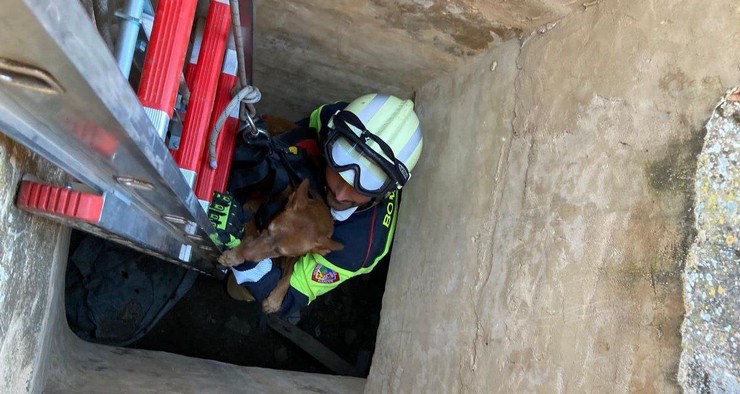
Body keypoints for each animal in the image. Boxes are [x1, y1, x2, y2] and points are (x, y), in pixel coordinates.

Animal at [214, 179, 342, 314]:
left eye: (280, 251)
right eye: (269, 229)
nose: (246, 255)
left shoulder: (295, 257)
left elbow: (289, 275)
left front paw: (275, 300)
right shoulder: (249, 207)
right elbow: (252, 235)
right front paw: (235, 255)